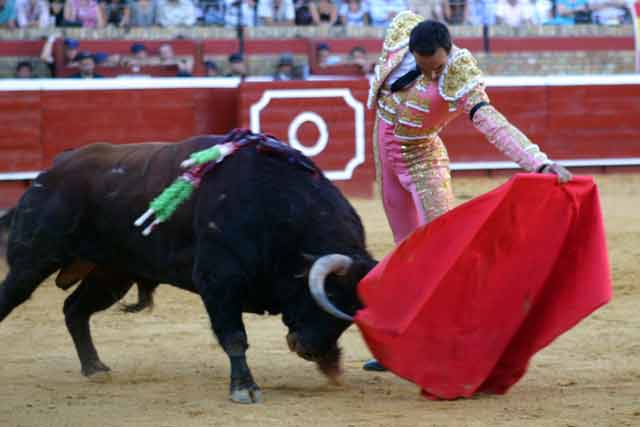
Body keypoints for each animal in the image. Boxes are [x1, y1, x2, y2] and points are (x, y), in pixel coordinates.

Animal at [0, 130, 376, 404]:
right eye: (327, 298)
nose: (309, 350)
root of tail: (51, 170)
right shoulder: (218, 281)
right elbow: (235, 338)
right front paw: (244, 389)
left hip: (112, 273)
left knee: (75, 309)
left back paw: (95, 368)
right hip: (33, 259)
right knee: (12, 297)